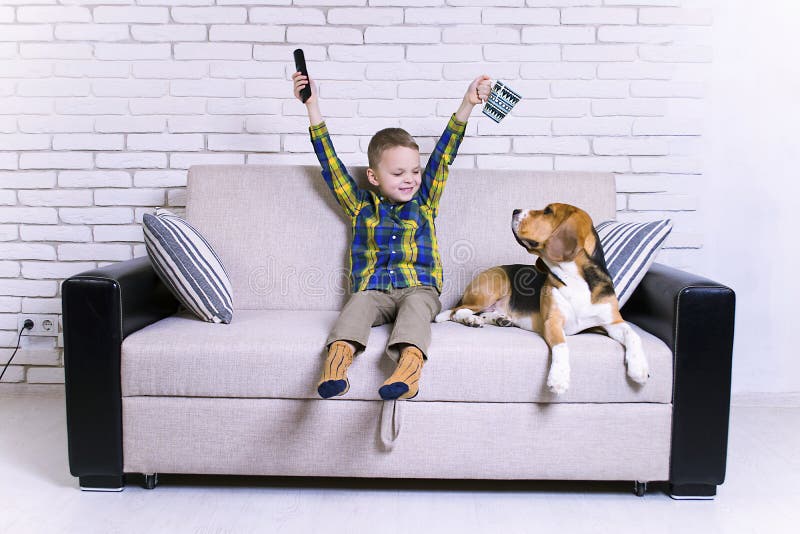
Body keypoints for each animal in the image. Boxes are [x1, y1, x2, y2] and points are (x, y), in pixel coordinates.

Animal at [438, 203, 648, 396]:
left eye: (548, 211)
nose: (515, 210)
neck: (575, 277)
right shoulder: (552, 321)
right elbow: (562, 346)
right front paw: (559, 378)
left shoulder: (612, 322)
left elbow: (633, 335)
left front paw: (639, 367)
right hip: (494, 286)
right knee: (458, 311)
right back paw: (471, 319)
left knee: (484, 313)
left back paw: (499, 319)